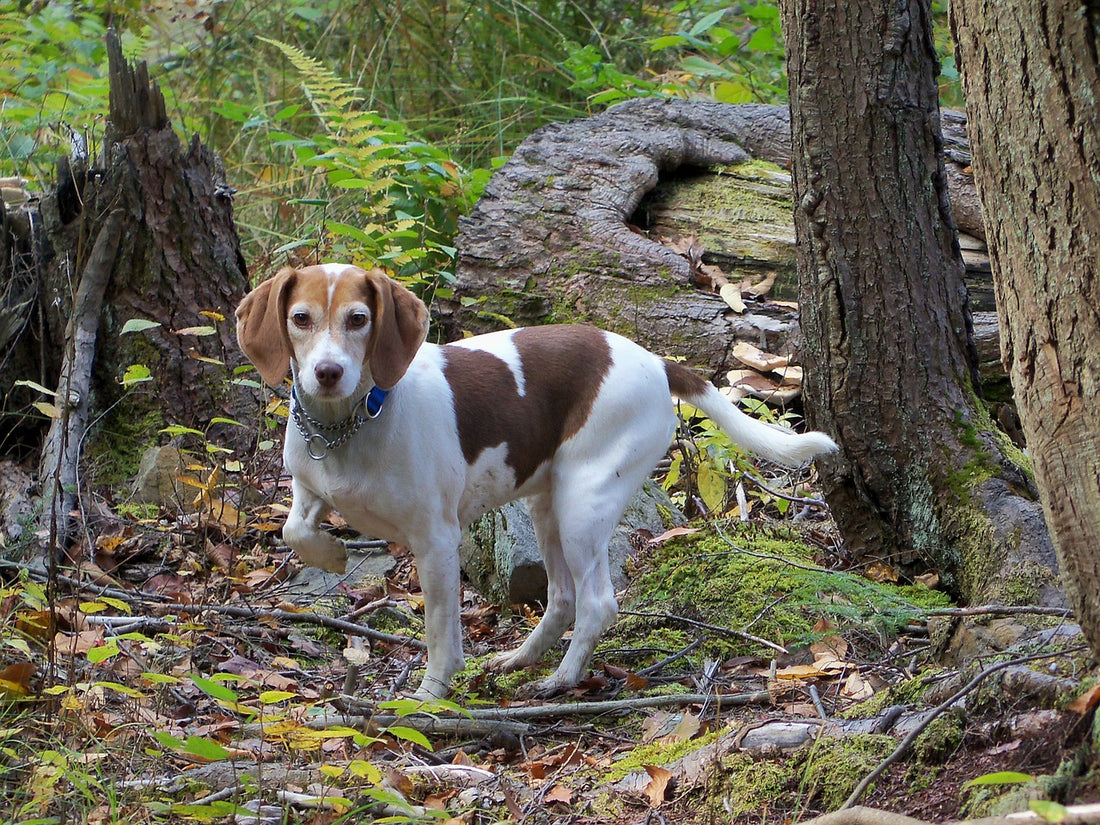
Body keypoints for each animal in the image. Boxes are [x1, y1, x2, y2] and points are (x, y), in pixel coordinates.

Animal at [236, 262, 836, 699]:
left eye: (359, 319)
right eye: (301, 318)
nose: (328, 372)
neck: (352, 423)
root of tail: (656, 361)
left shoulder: (436, 541)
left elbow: (440, 633)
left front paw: (430, 695)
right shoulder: (308, 490)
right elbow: (294, 530)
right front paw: (332, 555)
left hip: (582, 506)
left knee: (597, 603)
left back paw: (562, 679)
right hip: (548, 508)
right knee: (564, 599)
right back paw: (523, 658)